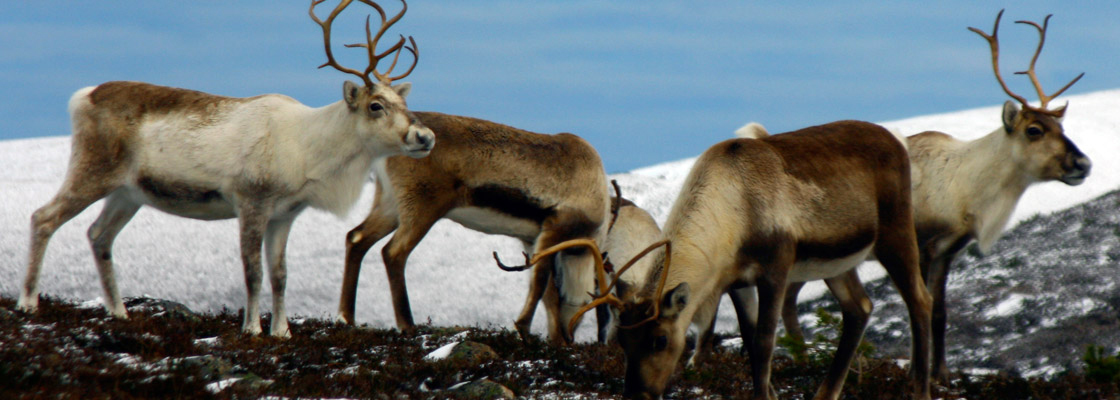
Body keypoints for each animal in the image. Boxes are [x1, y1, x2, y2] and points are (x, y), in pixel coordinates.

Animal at [16, 0, 434, 338]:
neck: (309, 150)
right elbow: (253, 271)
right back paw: (28, 302)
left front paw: (282, 332)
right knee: (43, 216)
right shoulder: (251, 202)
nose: (425, 136)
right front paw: (252, 329)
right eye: (376, 105)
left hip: (127, 193)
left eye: (403, 101)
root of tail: (82, 96)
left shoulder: (285, 214)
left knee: (99, 235)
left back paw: (119, 312)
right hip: (92, 171)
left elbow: (280, 275)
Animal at [337, 112, 612, 344]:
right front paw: (524, 329)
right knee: (393, 252)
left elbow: (548, 292)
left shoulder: (531, 239)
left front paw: (553, 342)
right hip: (422, 209)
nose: (569, 337)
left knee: (356, 238)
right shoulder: (554, 230)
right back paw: (407, 325)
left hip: (389, 205)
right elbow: (541, 284)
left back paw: (346, 318)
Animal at [540, 120, 934, 399]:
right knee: (860, 307)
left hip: (896, 233)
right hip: (838, 264)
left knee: (920, 299)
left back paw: (920, 389)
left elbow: (763, 344)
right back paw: (826, 394)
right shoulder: (736, 281)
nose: (639, 395)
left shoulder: (776, 268)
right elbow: (748, 340)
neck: (736, 211)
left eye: (661, 340)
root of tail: (898, 141)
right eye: (623, 340)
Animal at [720, 10, 1091, 382]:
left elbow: (941, 312)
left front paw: (941, 373)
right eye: (1034, 130)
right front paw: (919, 370)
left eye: (1062, 128)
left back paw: (803, 360)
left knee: (788, 298)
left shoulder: (948, 251)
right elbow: (921, 304)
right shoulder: (922, 244)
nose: (1083, 164)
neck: (967, 190)